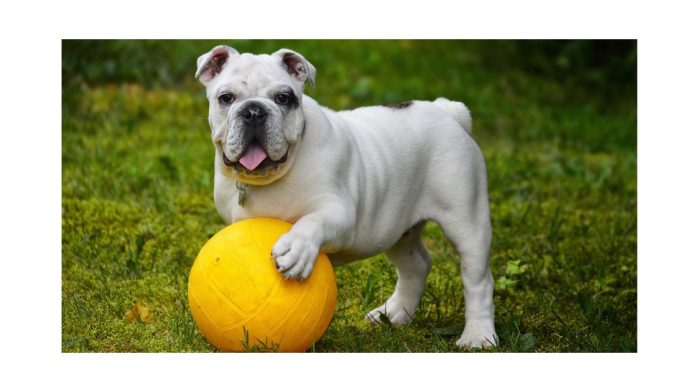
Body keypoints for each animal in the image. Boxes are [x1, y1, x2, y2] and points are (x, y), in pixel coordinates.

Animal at [196, 44, 498, 348]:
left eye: (283, 98)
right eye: (226, 98)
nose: (254, 111)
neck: (271, 177)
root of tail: (445, 110)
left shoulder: (339, 214)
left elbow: (311, 221)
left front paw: (296, 248)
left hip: (466, 221)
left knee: (478, 280)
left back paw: (478, 335)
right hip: (397, 228)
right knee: (416, 265)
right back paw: (393, 314)